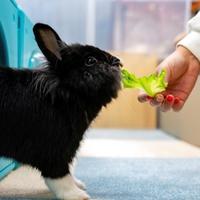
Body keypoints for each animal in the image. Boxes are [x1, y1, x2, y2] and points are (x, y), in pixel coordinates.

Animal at [0, 23, 121, 200]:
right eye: (90, 61)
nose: (118, 62)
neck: (65, 94)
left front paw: (79, 184)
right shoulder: (56, 151)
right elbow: (60, 176)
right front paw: (77, 194)